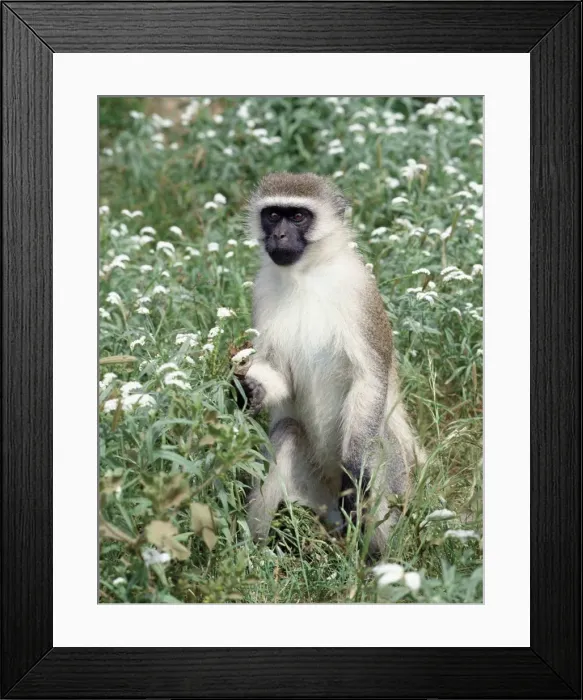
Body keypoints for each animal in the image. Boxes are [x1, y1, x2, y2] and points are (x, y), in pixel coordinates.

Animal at [239, 172, 423, 555]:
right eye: (272, 215)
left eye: (297, 217)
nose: (278, 236)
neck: (307, 275)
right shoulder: (261, 291)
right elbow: (277, 375)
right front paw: (249, 389)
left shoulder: (360, 291)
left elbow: (370, 378)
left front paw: (355, 472)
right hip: (313, 492)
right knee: (286, 432)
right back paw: (258, 551)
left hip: (395, 486)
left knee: (375, 444)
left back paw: (377, 560)